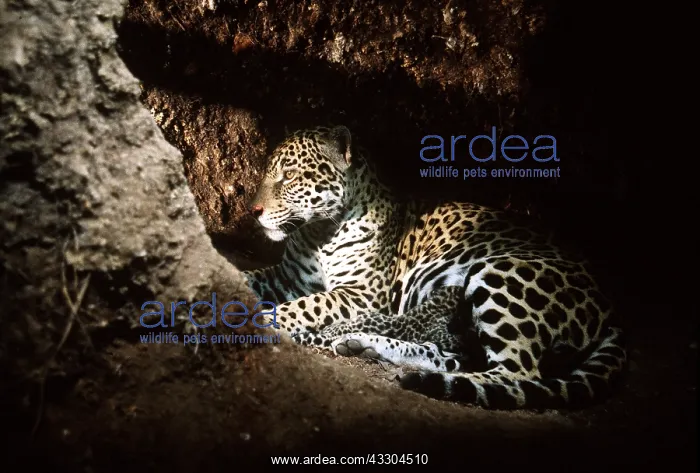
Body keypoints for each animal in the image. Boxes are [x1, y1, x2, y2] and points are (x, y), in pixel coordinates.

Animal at [242, 125, 626, 409]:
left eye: (290, 175)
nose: (253, 212)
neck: (317, 233)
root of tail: (610, 302)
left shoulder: (362, 294)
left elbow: (307, 305)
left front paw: (267, 319)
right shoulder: (286, 278)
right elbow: (252, 279)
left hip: (499, 272)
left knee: (517, 374)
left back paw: (434, 381)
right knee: (461, 356)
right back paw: (364, 345)